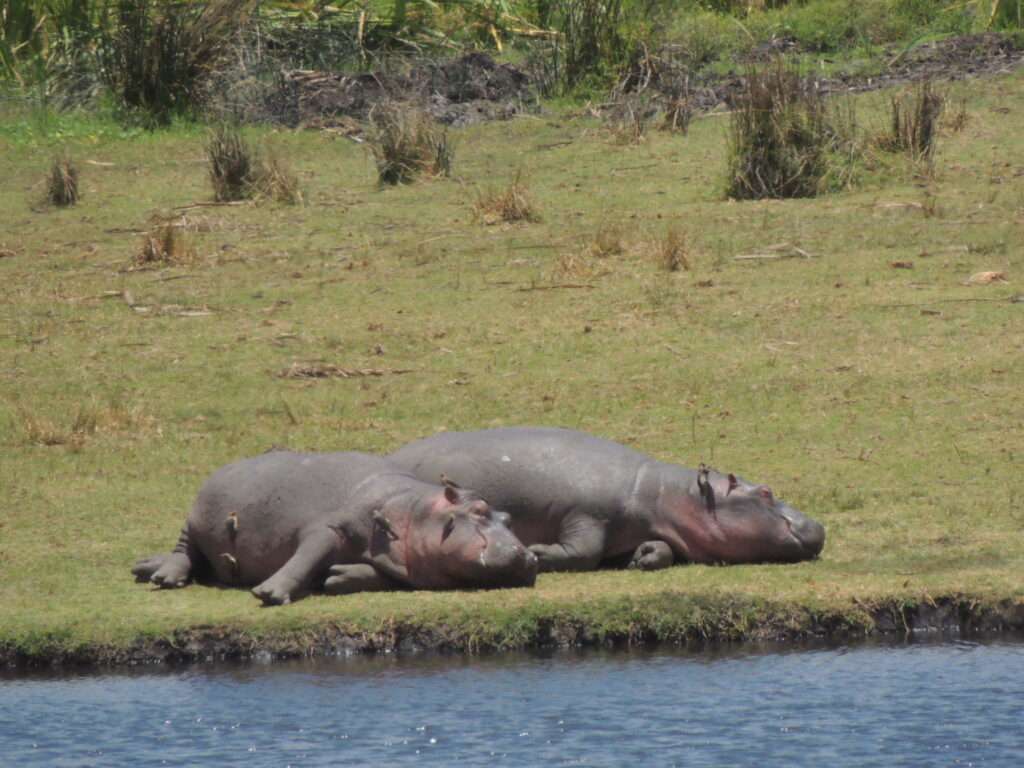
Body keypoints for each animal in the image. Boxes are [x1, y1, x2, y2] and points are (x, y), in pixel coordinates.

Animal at [132, 451, 538, 605]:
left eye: (508, 518)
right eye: (480, 510)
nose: (527, 555)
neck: (412, 509)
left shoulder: (401, 563)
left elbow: (376, 576)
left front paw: (338, 576)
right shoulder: (327, 528)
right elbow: (305, 555)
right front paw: (269, 594)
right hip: (192, 520)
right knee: (183, 551)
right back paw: (164, 578)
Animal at [388, 427, 825, 573]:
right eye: (766, 491)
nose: (819, 526)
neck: (664, 494)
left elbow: (660, 549)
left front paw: (645, 557)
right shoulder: (586, 515)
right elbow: (583, 550)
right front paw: (540, 552)